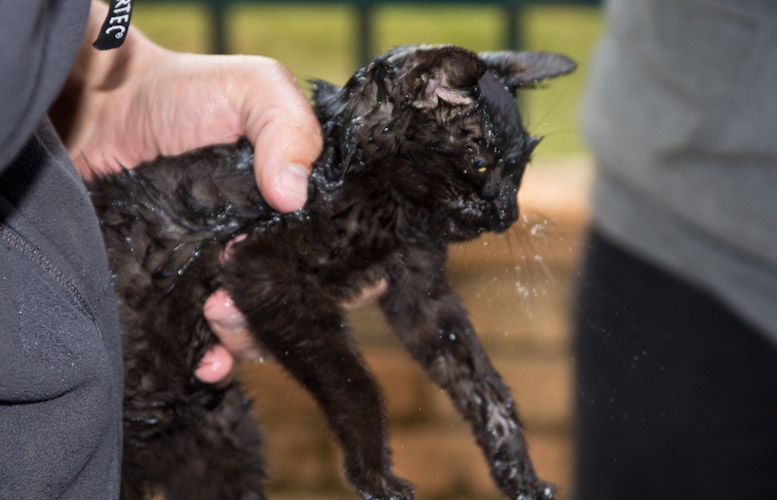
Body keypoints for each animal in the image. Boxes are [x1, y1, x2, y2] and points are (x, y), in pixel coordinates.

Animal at [91, 45, 576, 498]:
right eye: (480, 164)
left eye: (520, 171)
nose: (509, 214)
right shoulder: (262, 270)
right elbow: (354, 383)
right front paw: (374, 475)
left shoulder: (420, 289)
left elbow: (479, 379)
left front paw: (520, 472)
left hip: (223, 435)